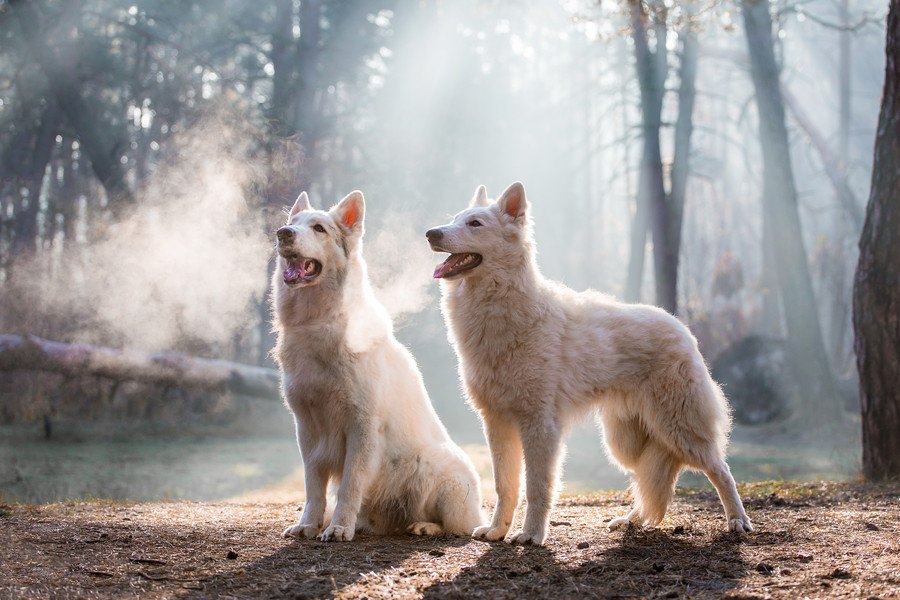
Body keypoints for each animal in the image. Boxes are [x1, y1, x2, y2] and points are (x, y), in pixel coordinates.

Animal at [274, 190, 486, 540]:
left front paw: (338, 528)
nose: (283, 234)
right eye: (293, 223)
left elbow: (349, 486)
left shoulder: (361, 429)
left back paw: (424, 525)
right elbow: (313, 489)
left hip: (438, 468)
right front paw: (309, 524)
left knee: (458, 527)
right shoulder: (307, 430)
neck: (318, 322)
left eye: (318, 228)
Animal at [428, 183, 752, 548]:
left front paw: (531, 534)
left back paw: (738, 520)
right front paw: (497, 531)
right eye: (455, 219)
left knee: (720, 470)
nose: (431, 234)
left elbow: (537, 486)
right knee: (652, 477)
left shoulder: (540, 426)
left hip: (679, 428)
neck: (505, 309)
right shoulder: (497, 424)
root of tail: (682, 329)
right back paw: (631, 520)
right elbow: (505, 486)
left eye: (475, 224)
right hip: (627, 442)